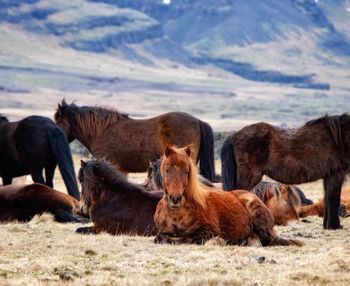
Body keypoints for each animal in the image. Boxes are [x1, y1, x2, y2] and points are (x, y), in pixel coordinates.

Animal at [221, 113, 350, 229]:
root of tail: (234, 136)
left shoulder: (329, 176)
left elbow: (328, 200)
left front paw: (328, 226)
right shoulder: (336, 174)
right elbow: (334, 200)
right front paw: (334, 226)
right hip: (249, 177)